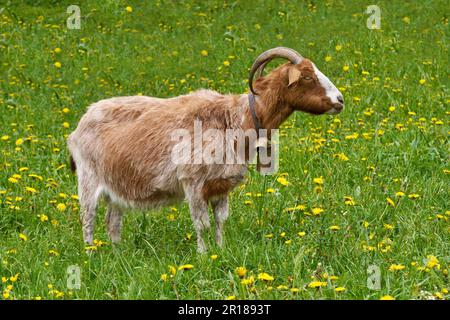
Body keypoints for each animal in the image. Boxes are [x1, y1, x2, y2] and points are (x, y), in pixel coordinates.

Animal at [67, 47, 342, 252]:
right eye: (307, 76)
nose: (340, 100)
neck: (235, 118)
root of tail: (80, 124)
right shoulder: (193, 182)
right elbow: (202, 224)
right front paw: (202, 255)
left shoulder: (221, 185)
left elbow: (220, 222)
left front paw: (220, 251)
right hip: (88, 178)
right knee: (88, 217)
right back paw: (91, 254)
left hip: (116, 185)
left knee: (112, 222)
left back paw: (117, 253)